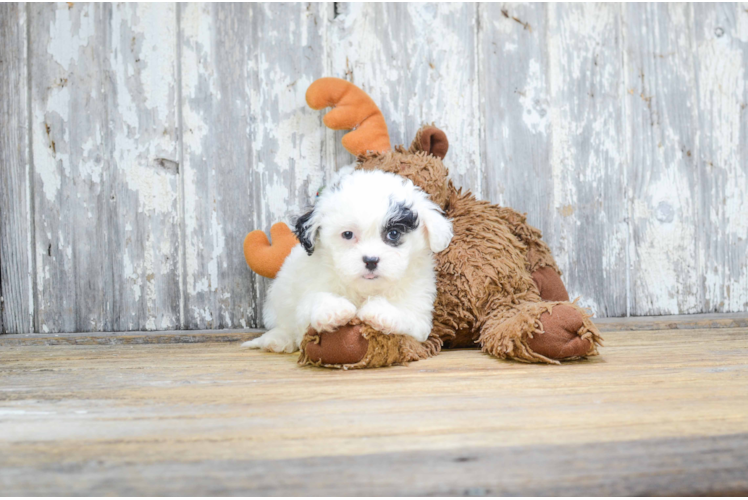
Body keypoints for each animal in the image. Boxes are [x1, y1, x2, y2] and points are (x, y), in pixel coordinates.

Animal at [244, 167, 456, 352]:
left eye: (394, 234)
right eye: (347, 234)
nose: (371, 260)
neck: (365, 289)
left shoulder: (419, 309)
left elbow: (408, 315)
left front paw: (380, 312)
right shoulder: (310, 289)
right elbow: (312, 302)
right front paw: (333, 310)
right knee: (284, 324)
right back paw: (276, 340)